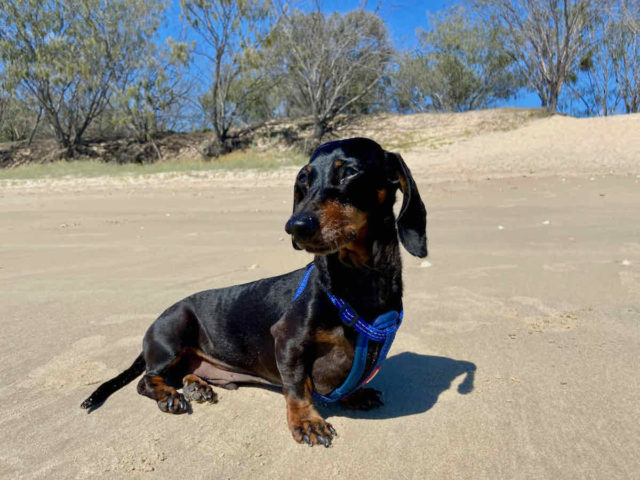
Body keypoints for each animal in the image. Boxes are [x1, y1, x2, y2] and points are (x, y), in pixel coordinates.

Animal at [81, 137, 430, 448]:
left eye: (349, 172)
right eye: (304, 179)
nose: (295, 226)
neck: (356, 282)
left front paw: (355, 393)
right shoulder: (288, 340)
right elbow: (297, 387)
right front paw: (307, 421)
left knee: (178, 374)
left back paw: (197, 386)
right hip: (173, 336)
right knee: (147, 379)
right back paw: (170, 396)